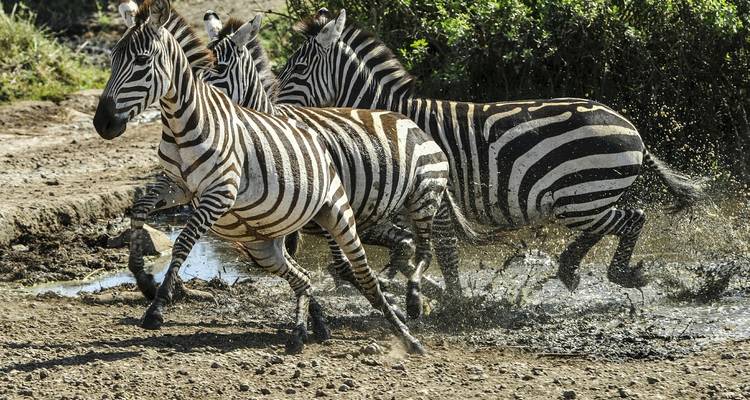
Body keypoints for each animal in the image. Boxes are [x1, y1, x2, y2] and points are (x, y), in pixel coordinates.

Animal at [92, 0, 424, 354]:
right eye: (112, 59)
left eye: (141, 61)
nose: (103, 124)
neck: (182, 124)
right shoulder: (178, 186)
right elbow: (140, 207)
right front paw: (142, 279)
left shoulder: (220, 193)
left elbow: (183, 241)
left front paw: (158, 304)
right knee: (359, 258)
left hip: (348, 212)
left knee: (374, 260)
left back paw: (407, 319)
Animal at [274, 9, 705, 302]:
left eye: (297, 67)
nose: (271, 109)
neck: (386, 120)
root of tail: (632, 129)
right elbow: (399, 243)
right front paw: (412, 281)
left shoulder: (433, 198)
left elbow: (444, 252)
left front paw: (453, 300)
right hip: (585, 200)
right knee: (616, 221)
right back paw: (570, 268)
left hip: (582, 196)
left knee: (633, 218)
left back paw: (616, 274)